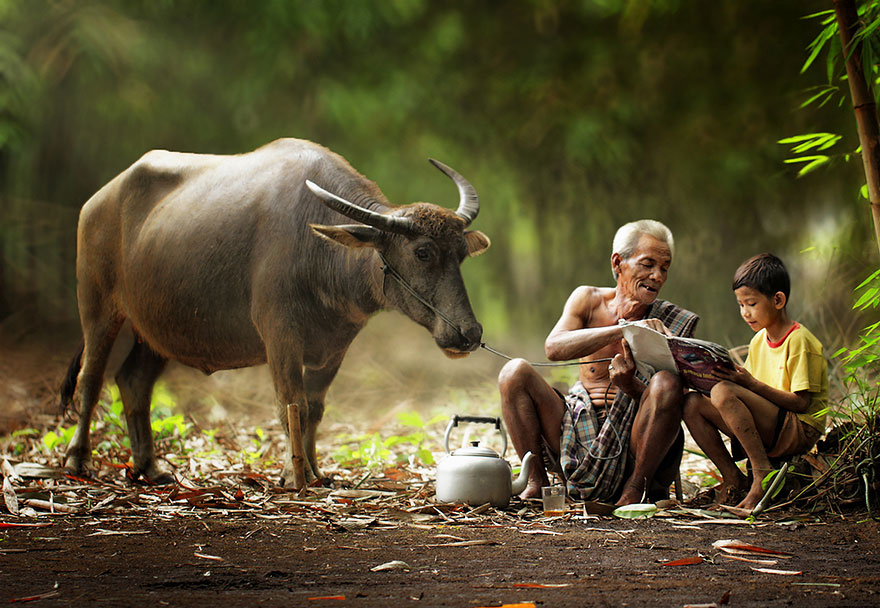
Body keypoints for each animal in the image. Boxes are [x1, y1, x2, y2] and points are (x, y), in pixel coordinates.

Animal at [59, 139, 492, 490]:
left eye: (460, 254)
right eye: (422, 252)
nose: (468, 333)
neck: (319, 251)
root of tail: (98, 201)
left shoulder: (334, 347)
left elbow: (314, 409)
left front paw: (316, 472)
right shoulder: (279, 336)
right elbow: (291, 405)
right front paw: (291, 475)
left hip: (157, 328)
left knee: (134, 382)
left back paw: (149, 467)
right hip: (97, 305)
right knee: (91, 378)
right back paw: (78, 460)